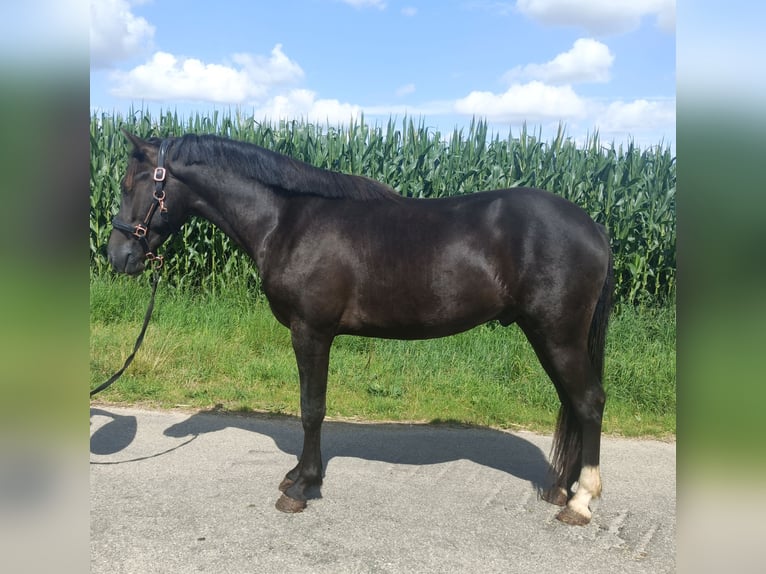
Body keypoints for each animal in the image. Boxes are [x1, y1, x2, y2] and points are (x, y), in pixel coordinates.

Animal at [108, 133, 616, 528]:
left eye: (132, 183)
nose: (118, 256)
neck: (287, 221)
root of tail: (593, 227)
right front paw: (297, 476)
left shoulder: (311, 331)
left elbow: (311, 408)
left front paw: (302, 487)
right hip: (547, 336)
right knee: (572, 403)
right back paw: (561, 489)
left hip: (558, 335)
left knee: (588, 402)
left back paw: (581, 501)